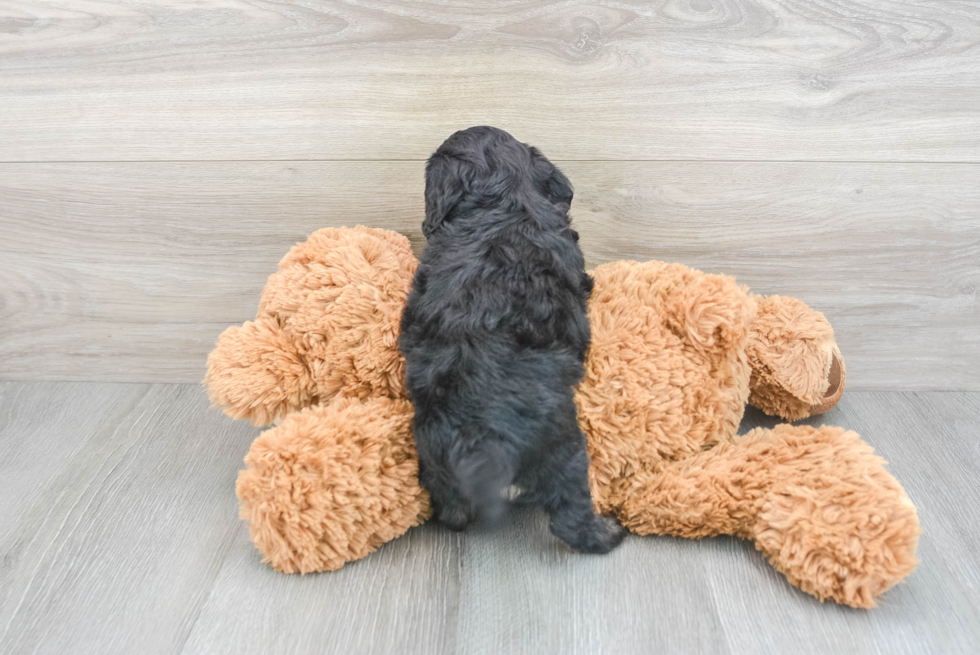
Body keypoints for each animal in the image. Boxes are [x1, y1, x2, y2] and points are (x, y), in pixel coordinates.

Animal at [402, 127, 624, 552]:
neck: (504, 199)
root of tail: (483, 442)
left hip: (432, 448)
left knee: (453, 512)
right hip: (564, 446)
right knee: (569, 515)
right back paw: (607, 533)